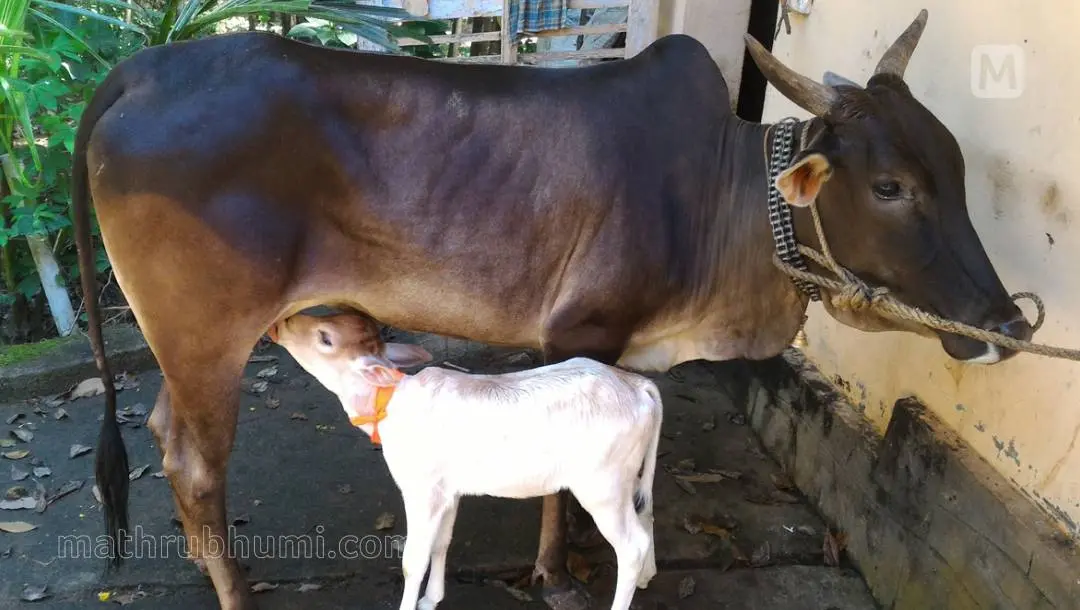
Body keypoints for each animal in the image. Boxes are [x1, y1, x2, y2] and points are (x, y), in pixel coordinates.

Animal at [72, 8, 1035, 610]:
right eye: (890, 186)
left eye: (955, 166)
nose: (1010, 326)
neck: (721, 197)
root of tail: (142, 70)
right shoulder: (584, 333)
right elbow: (559, 491)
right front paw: (560, 575)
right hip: (208, 335)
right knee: (196, 463)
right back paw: (233, 591)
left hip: (186, 347)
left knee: (164, 432)